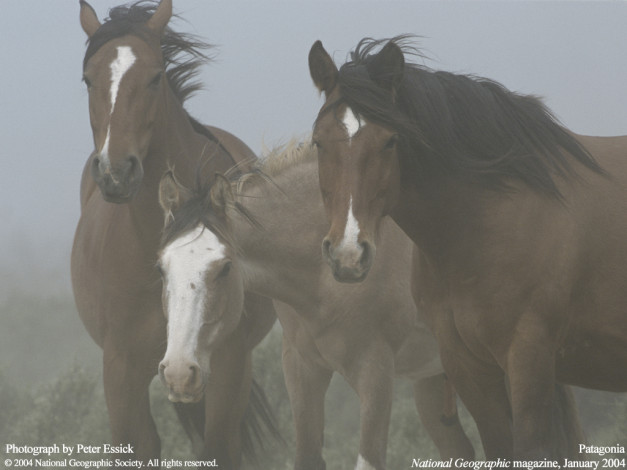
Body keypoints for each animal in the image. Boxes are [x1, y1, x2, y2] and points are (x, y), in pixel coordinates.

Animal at [69, 2, 278, 466]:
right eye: (89, 78)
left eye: (155, 76)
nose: (116, 172)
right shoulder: (122, 368)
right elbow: (137, 446)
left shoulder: (227, 361)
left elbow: (218, 447)